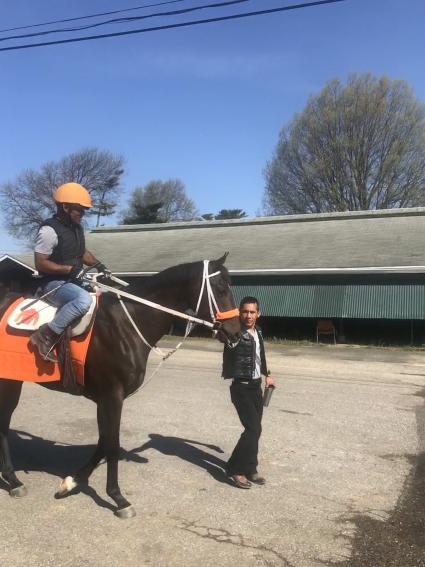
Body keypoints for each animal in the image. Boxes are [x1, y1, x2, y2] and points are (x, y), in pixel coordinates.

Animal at [0, 255, 240, 516]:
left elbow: (104, 441)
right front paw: (118, 498)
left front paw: (71, 482)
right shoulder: (112, 397)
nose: (236, 332)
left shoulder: (105, 399)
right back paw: (13, 480)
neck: (127, 323)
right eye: (221, 288)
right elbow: (112, 445)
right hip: (9, 383)